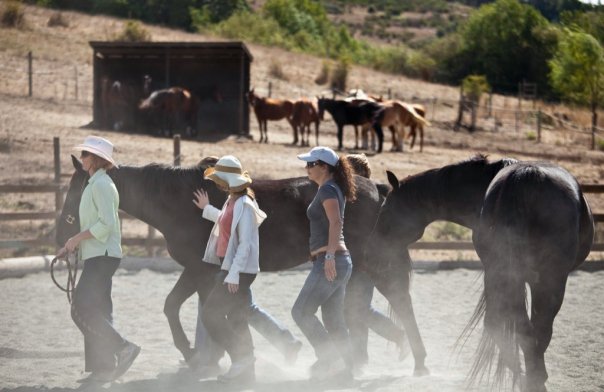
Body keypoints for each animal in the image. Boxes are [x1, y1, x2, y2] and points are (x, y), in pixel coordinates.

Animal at [368, 156, 596, 392]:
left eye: (385, 209)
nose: (371, 249)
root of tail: (526, 176)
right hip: (545, 281)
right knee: (531, 331)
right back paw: (532, 379)